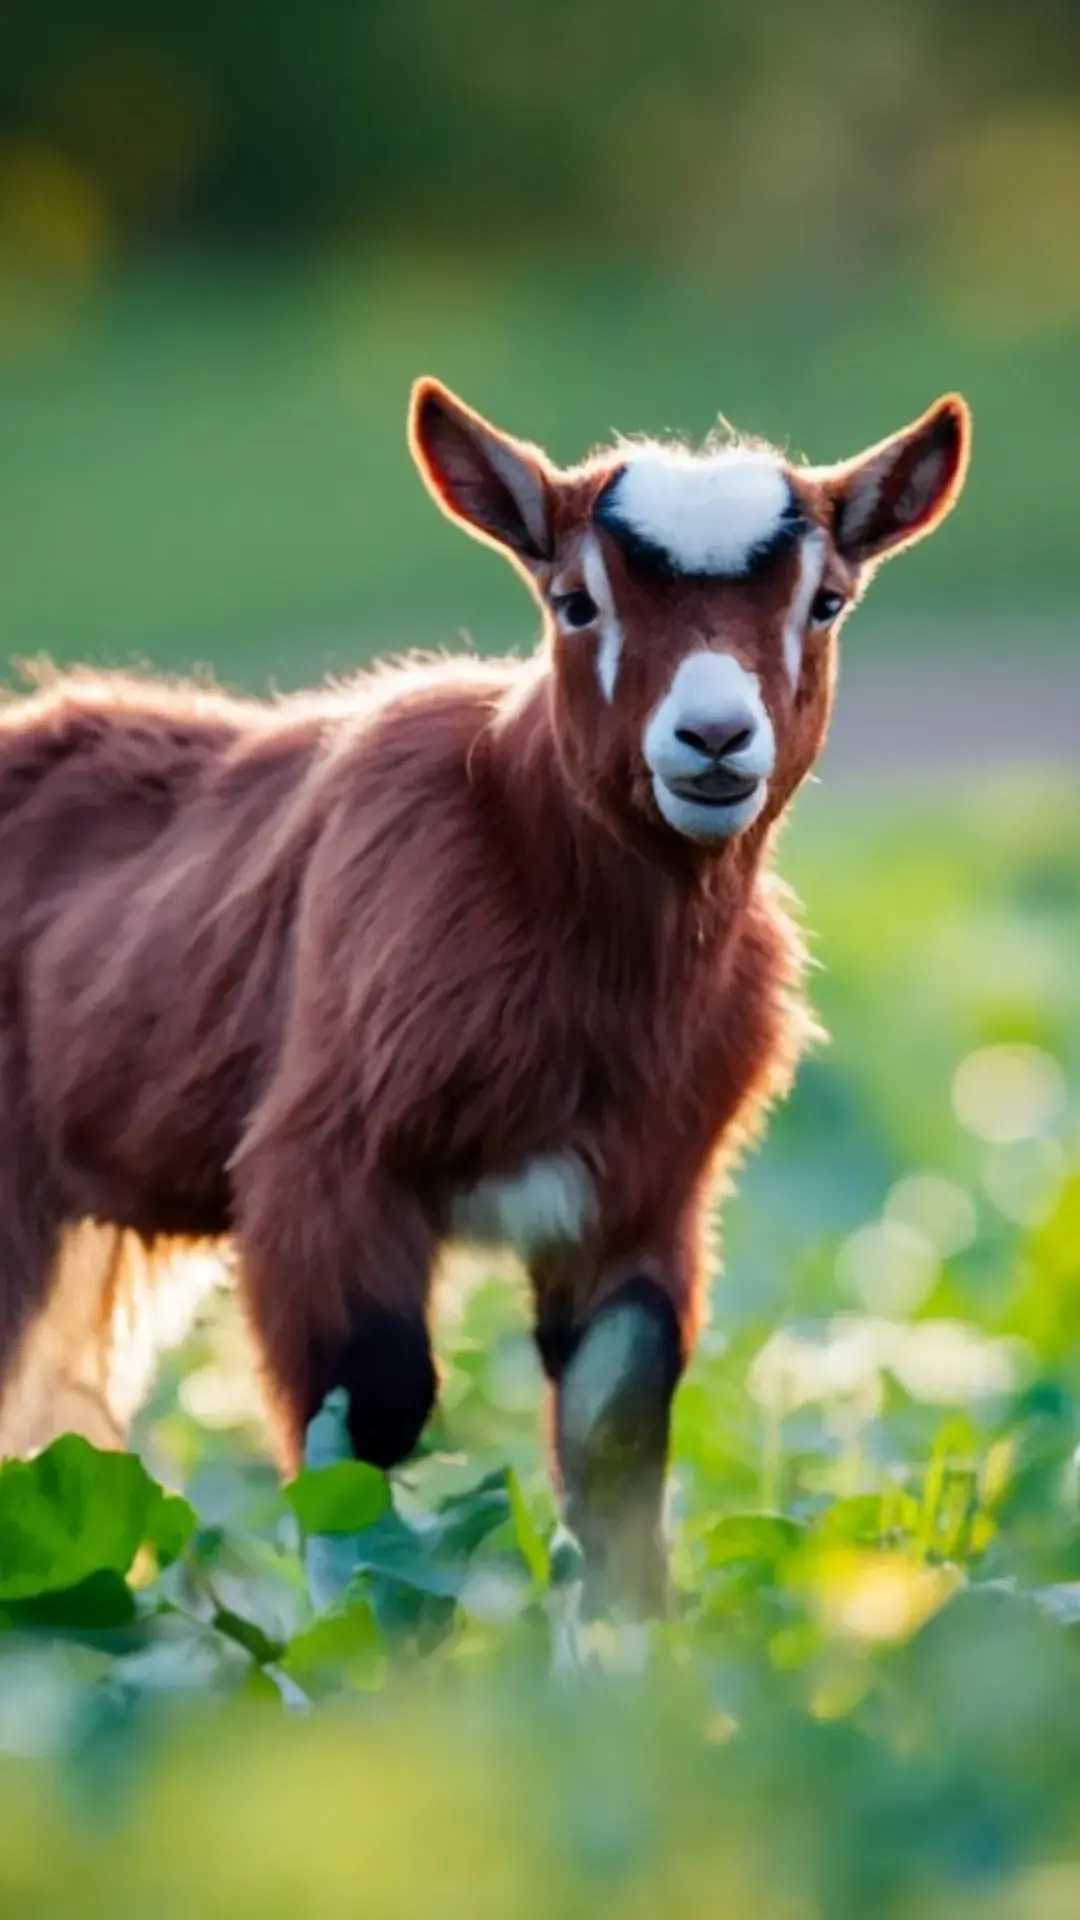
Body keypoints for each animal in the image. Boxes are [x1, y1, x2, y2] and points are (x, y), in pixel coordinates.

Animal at [0, 381, 970, 1613]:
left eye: (828, 603)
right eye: (574, 601)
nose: (712, 739)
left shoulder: (645, 1191)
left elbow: (616, 1428)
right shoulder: (322, 1167)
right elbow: (367, 1415)